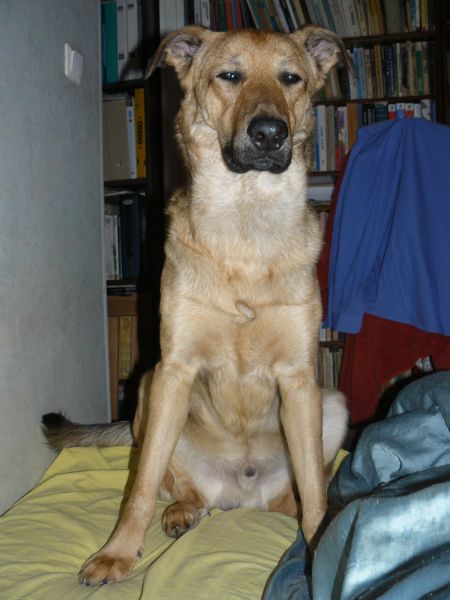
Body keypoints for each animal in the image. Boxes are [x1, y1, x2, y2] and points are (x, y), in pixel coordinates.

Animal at [43, 24, 350, 585]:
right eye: (229, 75)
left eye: (291, 78)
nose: (269, 134)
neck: (245, 223)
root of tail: (240, 497)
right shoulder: (174, 370)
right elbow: (139, 488)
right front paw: (118, 553)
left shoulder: (299, 379)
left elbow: (317, 490)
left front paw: (321, 548)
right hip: (148, 394)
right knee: (174, 484)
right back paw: (183, 511)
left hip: (330, 403)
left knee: (295, 496)